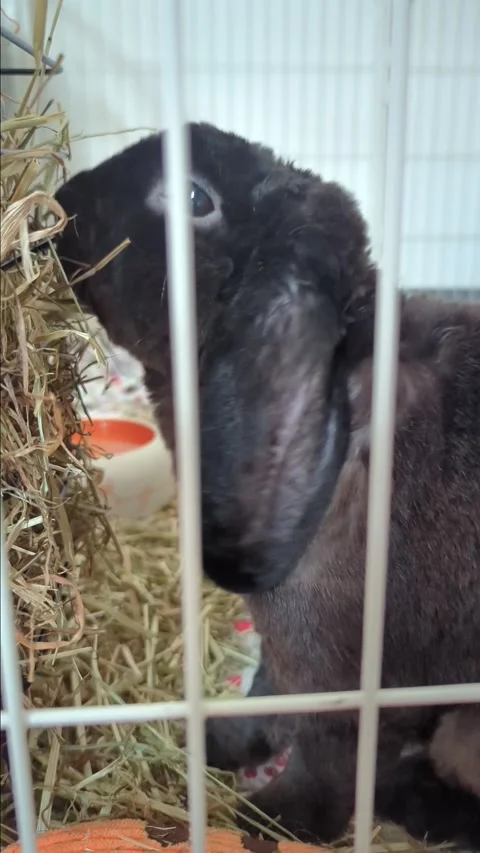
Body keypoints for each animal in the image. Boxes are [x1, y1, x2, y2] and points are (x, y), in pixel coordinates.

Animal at [55, 122, 480, 849]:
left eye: (195, 199)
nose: (62, 202)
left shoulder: (345, 679)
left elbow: (330, 751)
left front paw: (275, 818)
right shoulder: (286, 652)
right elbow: (266, 691)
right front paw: (224, 742)